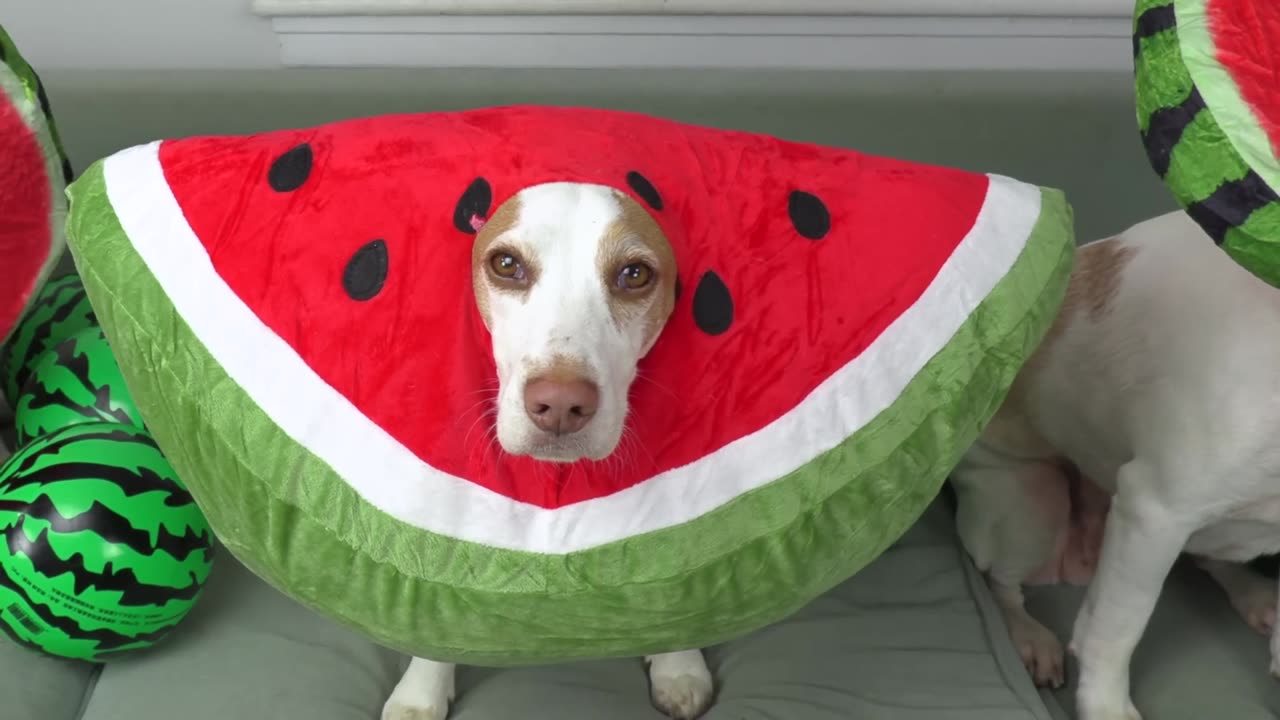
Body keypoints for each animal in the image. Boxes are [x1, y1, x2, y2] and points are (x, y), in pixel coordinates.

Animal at [952, 210, 1280, 717]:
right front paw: (1105, 706)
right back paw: (1030, 638)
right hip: (1032, 503)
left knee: (1208, 557)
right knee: (1000, 583)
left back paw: (1254, 593)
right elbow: (1115, 632)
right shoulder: (1156, 512)